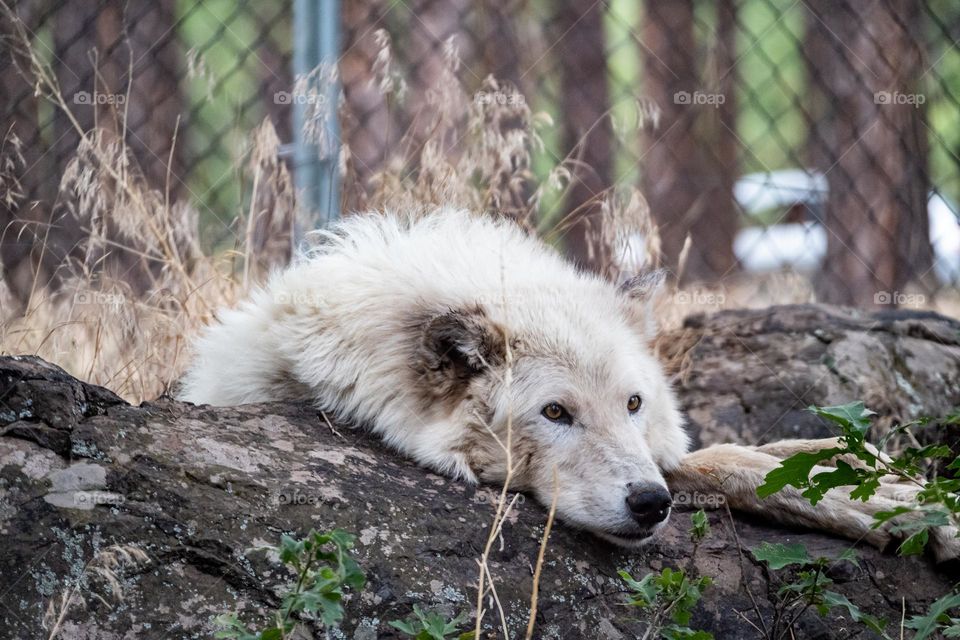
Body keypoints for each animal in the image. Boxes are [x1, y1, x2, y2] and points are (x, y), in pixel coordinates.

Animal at [180, 208, 958, 558]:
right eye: (556, 413)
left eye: (633, 404)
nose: (650, 505)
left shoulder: (665, 457)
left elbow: (741, 461)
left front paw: (893, 492)